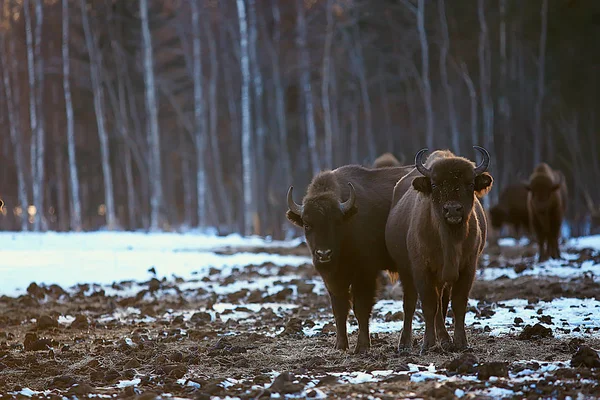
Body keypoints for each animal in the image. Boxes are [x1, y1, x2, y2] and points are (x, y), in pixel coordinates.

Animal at [286, 163, 412, 354]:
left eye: (336, 222)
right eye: (307, 225)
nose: (324, 254)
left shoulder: (365, 274)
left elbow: (360, 308)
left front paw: (362, 347)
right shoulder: (333, 279)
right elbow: (339, 310)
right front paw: (340, 345)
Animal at [384, 147, 492, 354]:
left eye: (469, 183)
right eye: (434, 184)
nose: (452, 210)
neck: (449, 239)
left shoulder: (468, 268)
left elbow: (457, 304)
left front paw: (461, 343)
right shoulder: (421, 269)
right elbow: (428, 305)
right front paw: (427, 344)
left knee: (441, 305)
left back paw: (444, 339)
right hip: (406, 271)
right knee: (411, 304)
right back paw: (405, 344)